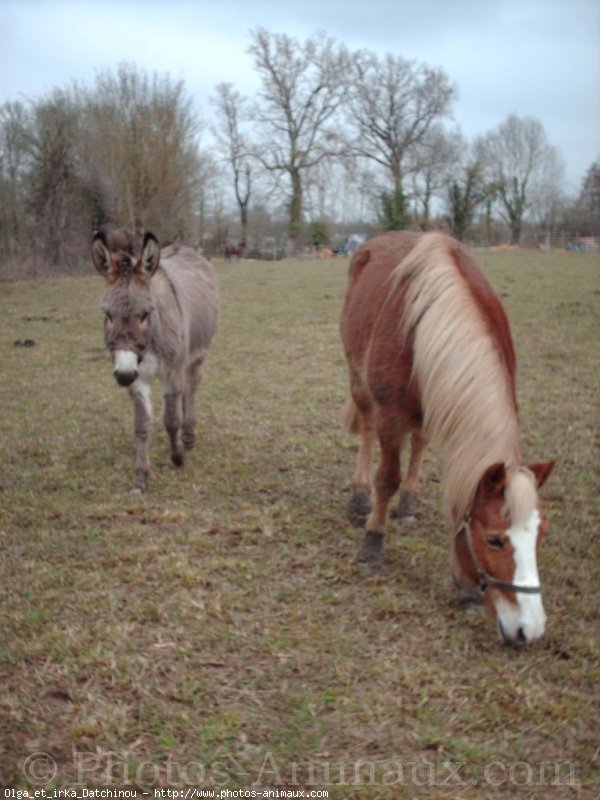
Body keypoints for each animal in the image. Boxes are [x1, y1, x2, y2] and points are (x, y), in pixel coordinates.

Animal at [91, 230, 218, 494]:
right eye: (107, 315)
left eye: (145, 315)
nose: (124, 375)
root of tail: (183, 247)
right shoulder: (138, 377)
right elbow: (142, 426)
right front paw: (141, 476)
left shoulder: (172, 371)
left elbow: (171, 420)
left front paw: (177, 458)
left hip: (196, 357)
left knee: (191, 389)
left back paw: (188, 435)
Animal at [340, 231, 556, 644]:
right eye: (493, 540)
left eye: (540, 536)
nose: (529, 629)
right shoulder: (390, 413)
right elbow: (386, 478)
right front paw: (372, 546)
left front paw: (464, 587)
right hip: (359, 381)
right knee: (367, 427)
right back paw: (359, 497)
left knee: (419, 444)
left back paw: (408, 503)